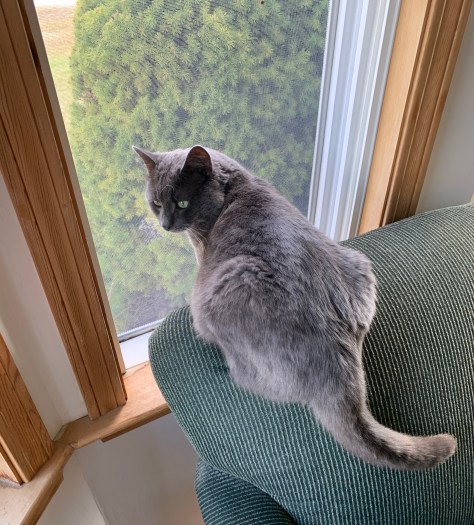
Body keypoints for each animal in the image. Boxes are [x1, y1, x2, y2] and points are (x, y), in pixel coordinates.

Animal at [134, 144, 456, 470]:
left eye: (182, 202)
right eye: (156, 203)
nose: (165, 225)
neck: (234, 188)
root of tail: (339, 363)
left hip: (232, 281)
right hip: (357, 263)